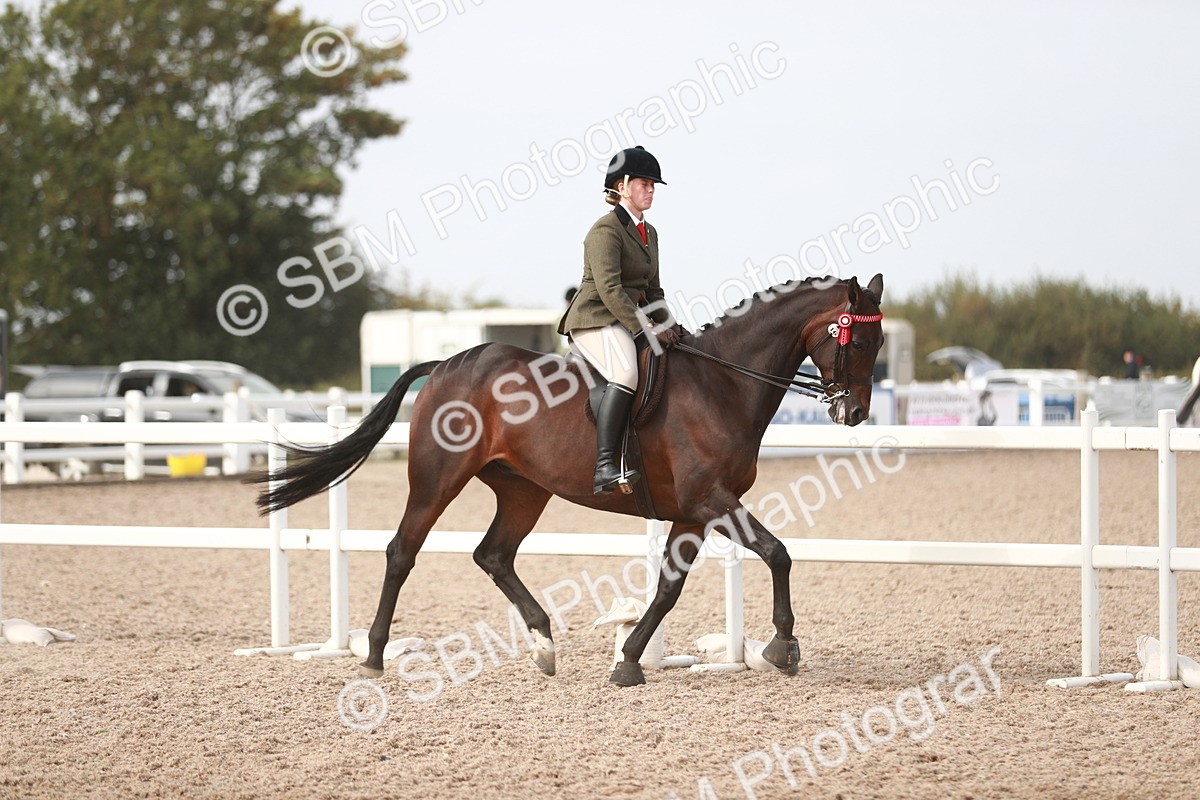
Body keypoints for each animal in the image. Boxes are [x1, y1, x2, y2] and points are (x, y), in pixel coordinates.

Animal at [255, 273, 886, 686]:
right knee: (402, 550)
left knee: (493, 555)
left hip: (523, 489)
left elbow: (669, 588)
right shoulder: (711, 499)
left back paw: (543, 644)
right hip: (438, 478)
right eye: (856, 339)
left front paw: (628, 660)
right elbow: (777, 553)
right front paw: (782, 647)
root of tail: (445, 365)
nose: (854, 413)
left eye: (879, 342)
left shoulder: (693, 511)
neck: (722, 384)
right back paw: (374, 655)